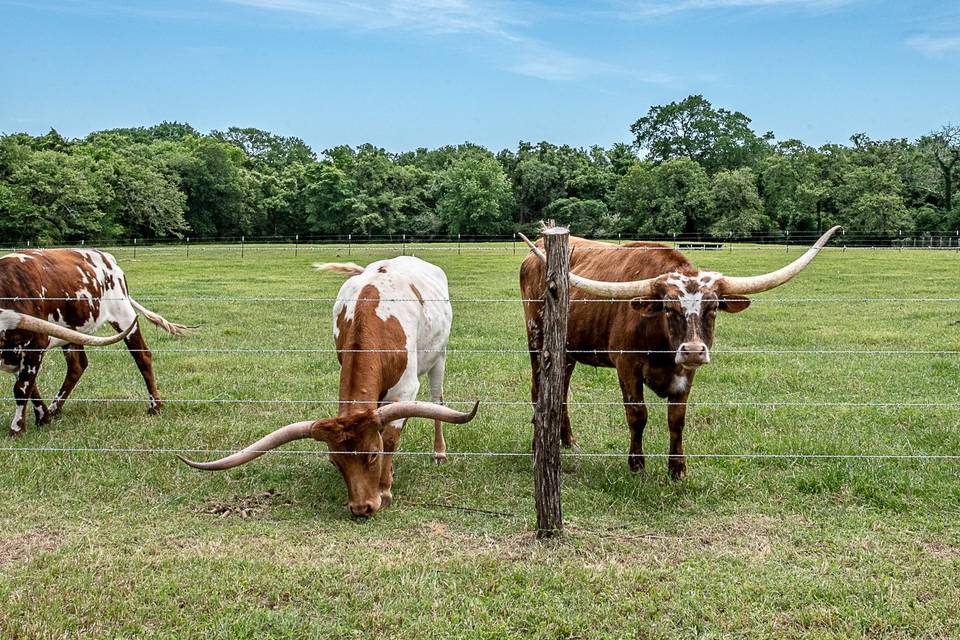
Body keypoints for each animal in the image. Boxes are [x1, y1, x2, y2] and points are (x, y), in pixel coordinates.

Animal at [0, 249, 193, 436]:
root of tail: (107, 257)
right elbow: (31, 385)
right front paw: (43, 417)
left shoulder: (36, 345)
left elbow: (22, 388)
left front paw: (17, 429)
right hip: (72, 332)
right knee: (77, 366)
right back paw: (55, 409)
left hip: (124, 316)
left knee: (142, 356)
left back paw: (155, 406)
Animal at [178, 255, 478, 516]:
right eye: (335, 462)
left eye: (372, 454)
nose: (361, 508)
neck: (370, 316)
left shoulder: (405, 389)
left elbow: (391, 438)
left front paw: (385, 489)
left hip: (440, 356)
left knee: (437, 400)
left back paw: (439, 453)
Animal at [516, 228, 840, 478]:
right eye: (669, 309)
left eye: (713, 308)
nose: (694, 351)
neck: (661, 346)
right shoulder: (626, 365)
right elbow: (637, 414)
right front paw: (637, 465)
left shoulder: (685, 374)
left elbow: (677, 419)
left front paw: (677, 469)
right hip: (537, 341)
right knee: (538, 389)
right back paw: (537, 446)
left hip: (567, 351)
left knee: (560, 391)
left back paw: (567, 440)